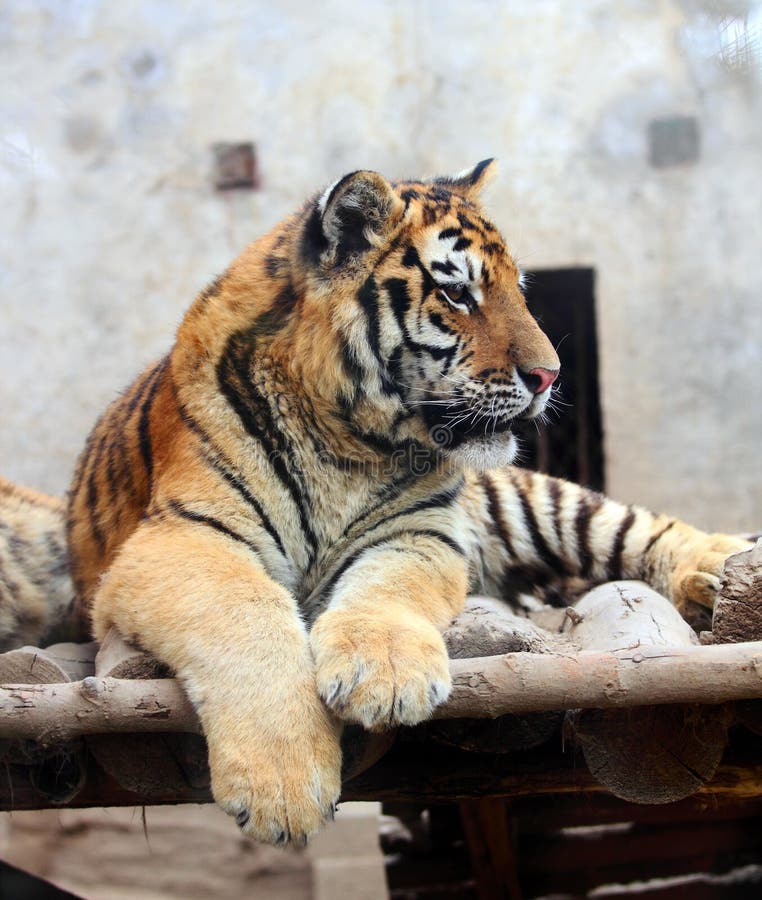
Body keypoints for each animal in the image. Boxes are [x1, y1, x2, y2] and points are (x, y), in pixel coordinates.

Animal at [7, 159, 747, 847]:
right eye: (458, 292)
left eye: (518, 290)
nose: (549, 376)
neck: (347, 442)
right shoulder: (183, 537)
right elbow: (248, 615)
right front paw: (284, 788)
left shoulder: (418, 532)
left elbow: (390, 591)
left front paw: (384, 678)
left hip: (530, 501)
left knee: (631, 525)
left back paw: (720, 565)